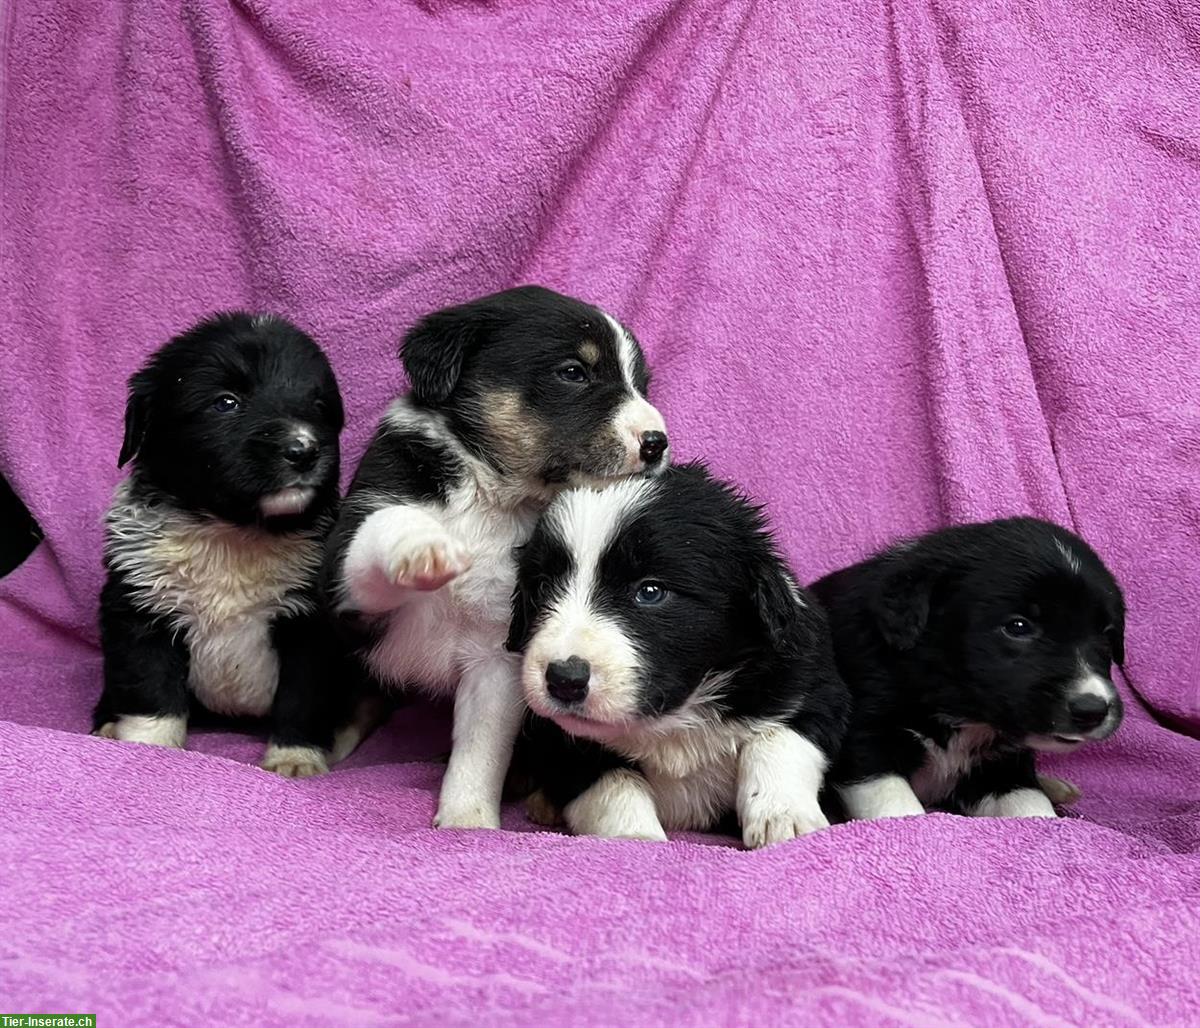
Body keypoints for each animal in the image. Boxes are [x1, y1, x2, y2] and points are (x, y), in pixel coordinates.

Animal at [94, 311, 357, 777]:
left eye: (319, 407)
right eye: (227, 402)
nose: (304, 449)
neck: (232, 532)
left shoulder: (311, 627)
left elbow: (303, 699)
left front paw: (296, 759)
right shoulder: (139, 611)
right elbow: (151, 691)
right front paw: (147, 749)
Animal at [324, 284, 672, 830]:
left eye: (641, 384)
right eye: (574, 372)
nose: (657, 444)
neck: (491, 496)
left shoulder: (497, 656)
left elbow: (480, 750)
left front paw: (468, 820)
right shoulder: (348, 576)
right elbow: (387, 526)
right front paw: (426, 549)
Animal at [506, 460, 854, 844]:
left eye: (651, 591)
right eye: (542, 588)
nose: (564, 679)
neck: (672, 718)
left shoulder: (809, 684)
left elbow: (777, 740)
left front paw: (783, 817)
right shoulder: (556, 739)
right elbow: (614, 786)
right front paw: (636, 837)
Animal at [816, 518, 1123, 820]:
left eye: (1107, 634)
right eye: (1018, 626)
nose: (1092, 709)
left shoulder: (1003, 766)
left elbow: (1031, 807)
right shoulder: (866, 739)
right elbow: (897, 807)